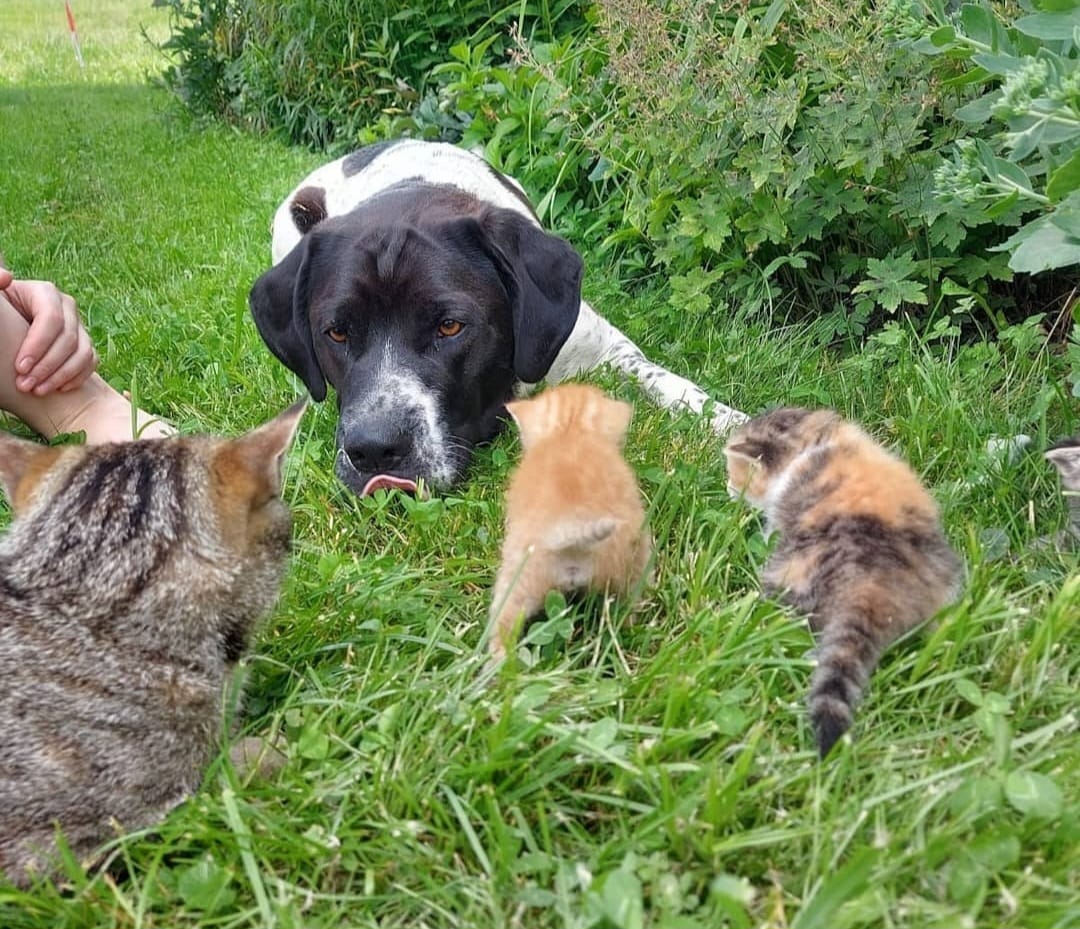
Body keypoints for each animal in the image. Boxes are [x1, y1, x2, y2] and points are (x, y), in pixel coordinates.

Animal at [249, 140, 746, 496]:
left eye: (450, 326)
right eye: (336, 332)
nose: (373, 451)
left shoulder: (604, 346)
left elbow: (673, 385)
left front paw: (735, 425)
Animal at [488, 383, 652, 662]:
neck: (570, 430)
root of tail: (570, 524)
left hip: (518, 579)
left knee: (502, 625)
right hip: (629, 561)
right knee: (630, 606)